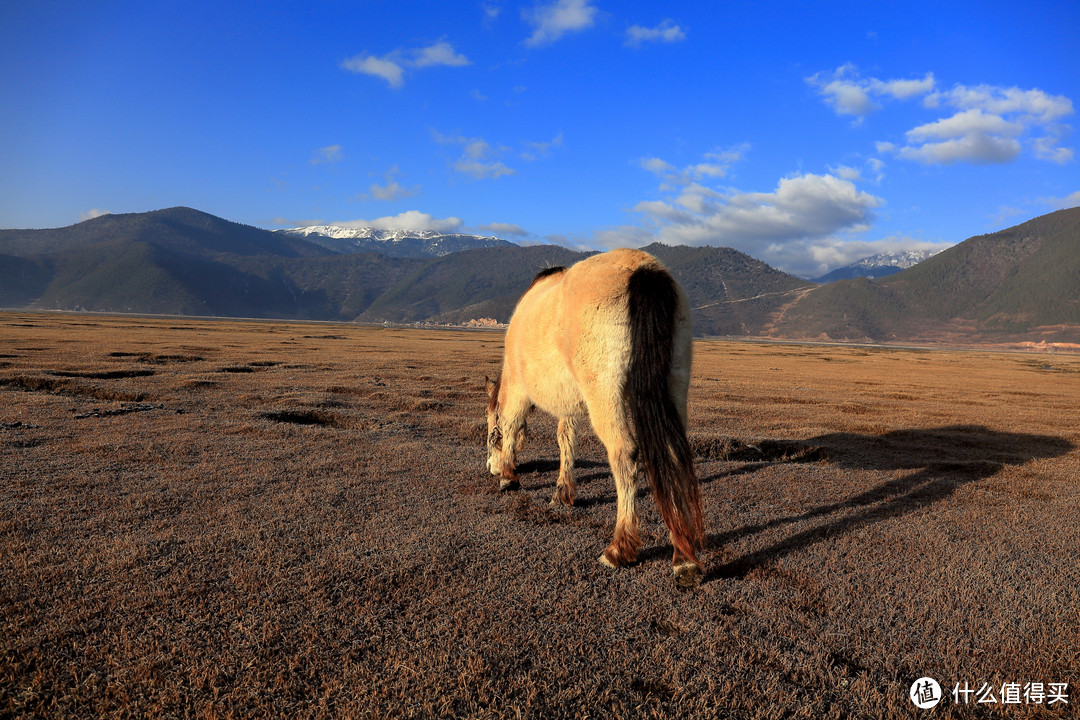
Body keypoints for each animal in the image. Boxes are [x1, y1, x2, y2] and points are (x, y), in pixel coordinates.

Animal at [486, 248, 704, 587]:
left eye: (489, 434)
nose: (491, 468)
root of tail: (643, 269)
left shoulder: (520, 390)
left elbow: (512, 425)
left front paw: (509, 477)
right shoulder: (569, 403)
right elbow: (566, 439)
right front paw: (563, 492)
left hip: (604, 394)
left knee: (624, 454)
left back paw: (619, 548)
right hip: (675, 384)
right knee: (672, 455)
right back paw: (683, 557)